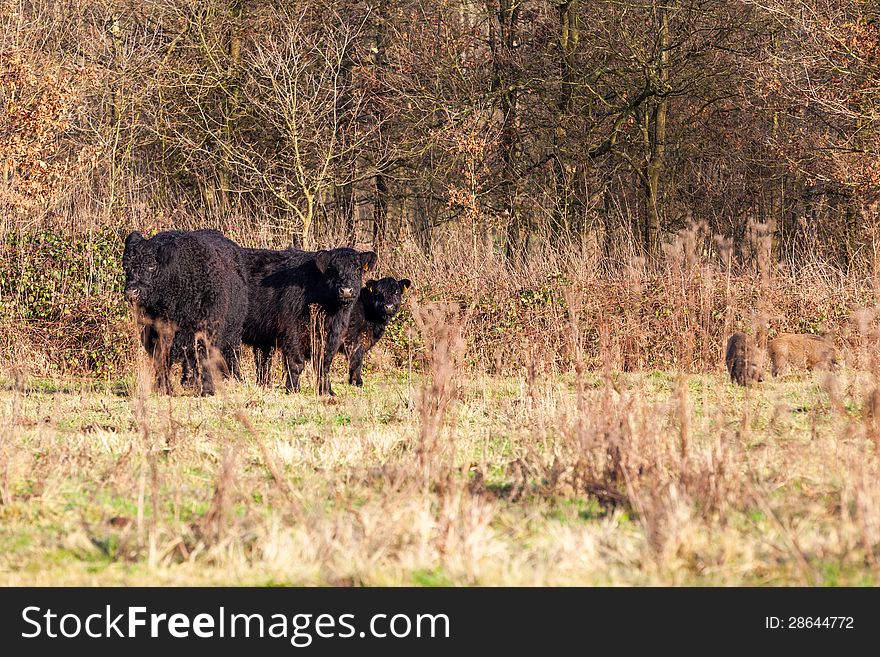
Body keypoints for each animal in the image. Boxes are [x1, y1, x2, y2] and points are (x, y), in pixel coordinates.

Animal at [122, 231, 249, 394]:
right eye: (126, 267)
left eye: (151, 266)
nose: (132, 292)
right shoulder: (155, 332)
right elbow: (162, 359)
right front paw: (164, 389)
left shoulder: (207, 328)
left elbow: (204, 357)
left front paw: (208, 390)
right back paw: (189, 382)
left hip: (233, 332)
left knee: (231, 355)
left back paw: (235, 379)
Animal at [242, 246, 376, 394]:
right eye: (332, 269)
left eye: (358, 269)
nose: (346, 291)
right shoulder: (291, 331)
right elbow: (296, 362)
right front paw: (293, 389)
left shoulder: (332, 335)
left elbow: (324, 363)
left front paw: (327, 391)